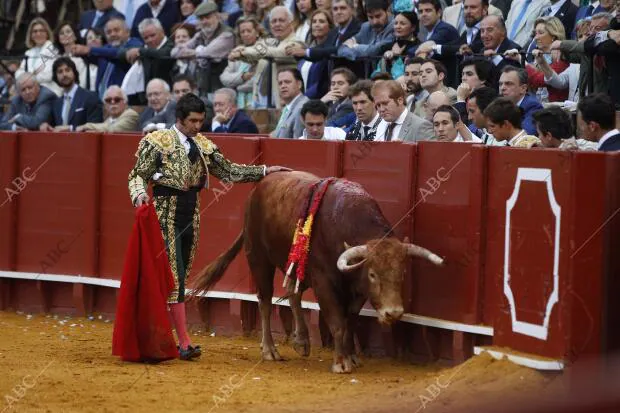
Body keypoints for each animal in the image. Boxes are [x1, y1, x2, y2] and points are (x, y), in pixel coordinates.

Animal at [191, 171, 444, 374]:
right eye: (372, 274)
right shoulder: (324, 283)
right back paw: (270, 350)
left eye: (402, 272)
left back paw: (301, 341)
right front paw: (341, 363)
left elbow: (350, 320)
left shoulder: (357, 290)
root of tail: (260, 185)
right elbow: (337, 321)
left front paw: (351, 356)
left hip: (296, 263)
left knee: (292, 292)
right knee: (265, 301)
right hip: (259, 259)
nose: (394, 313)